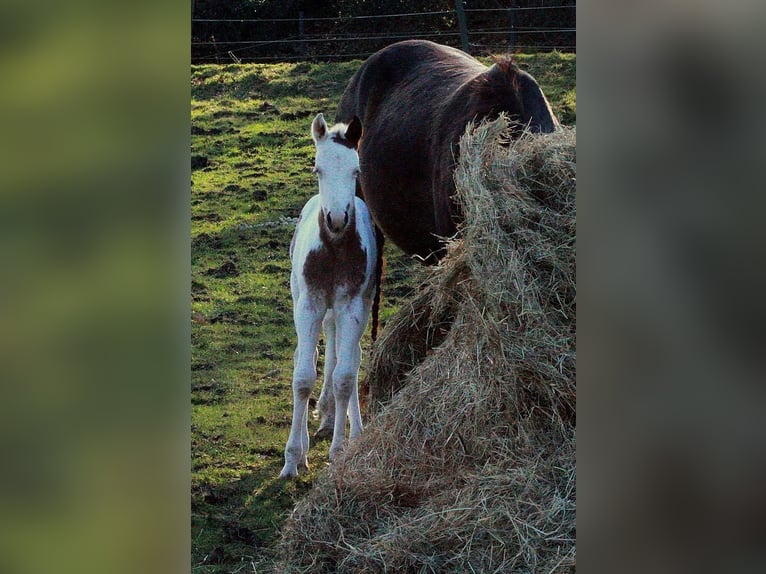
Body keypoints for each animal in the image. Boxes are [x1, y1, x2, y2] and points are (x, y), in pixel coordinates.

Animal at [280, 113, 380, 482]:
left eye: (355, 171)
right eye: (317, 169)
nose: (337, 219)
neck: (335, 249)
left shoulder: (350, 307)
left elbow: (344, 377)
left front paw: (338, 451)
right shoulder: (309, 305)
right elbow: (302, 378)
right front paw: (293, 459)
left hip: (356, 306)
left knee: (347, 358)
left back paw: (349, 427)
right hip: (302, 298)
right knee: (306, 355)